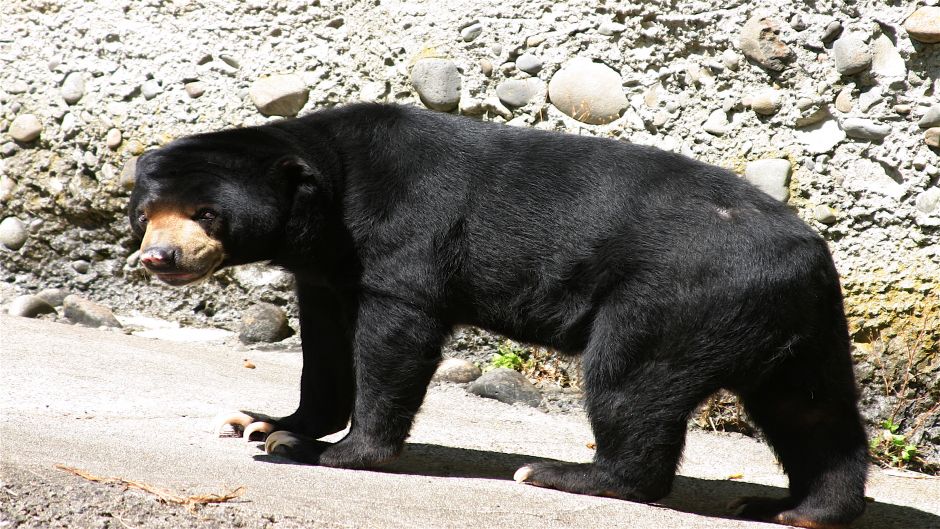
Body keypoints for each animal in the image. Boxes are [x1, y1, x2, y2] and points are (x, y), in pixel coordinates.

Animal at [128, 103, 868, 528]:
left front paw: (325, 451)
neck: (328, 198)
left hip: (677, 299)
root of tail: (809, 254)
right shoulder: (324, 269)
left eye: (206, 213)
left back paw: (565, 474)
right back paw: (795, 509)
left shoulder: (405, 235)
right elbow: (326, 351)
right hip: (793, 327)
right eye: (146, 212)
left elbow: (395, 336)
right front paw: (263, 421)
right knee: (813, 412)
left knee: (630, 380)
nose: (160, 256)